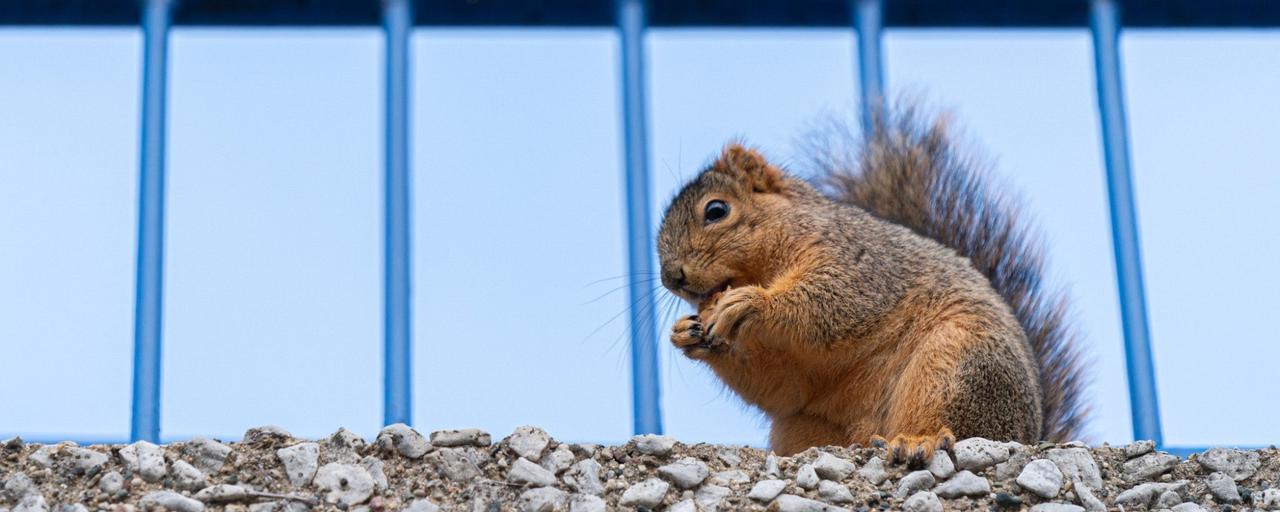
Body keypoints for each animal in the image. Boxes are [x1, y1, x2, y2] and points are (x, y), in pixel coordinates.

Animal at [655, 103, 1085, 463]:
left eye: (716, 210)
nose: (672, 278)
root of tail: (1030, 433)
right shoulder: (794, 375)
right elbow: (783, 384)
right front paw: (688, 333)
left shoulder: (860, 263)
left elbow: (830, 302)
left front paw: (752, 303)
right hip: (802, 425)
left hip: (960, 362)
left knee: (954, 424)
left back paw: (918, 440)